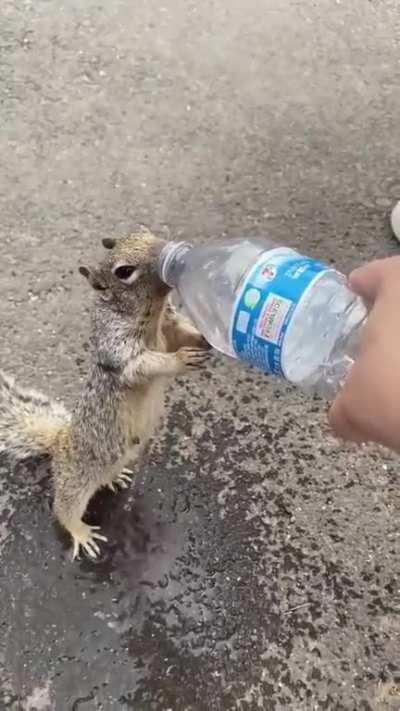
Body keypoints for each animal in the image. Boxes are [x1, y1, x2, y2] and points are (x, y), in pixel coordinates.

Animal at [0, 227, 210, 559]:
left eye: (144, 231)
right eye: (124, 272)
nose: (168, 248)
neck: (152, 317)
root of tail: (59, 442)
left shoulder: (170, 325)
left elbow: (183, 332)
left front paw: (206, 337)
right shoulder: (119, 349)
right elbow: (144, 365)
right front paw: (179, 360)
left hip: (119, 457)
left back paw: (115, 478)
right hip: (75, 479)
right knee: (64, 508)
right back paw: (81, 532)